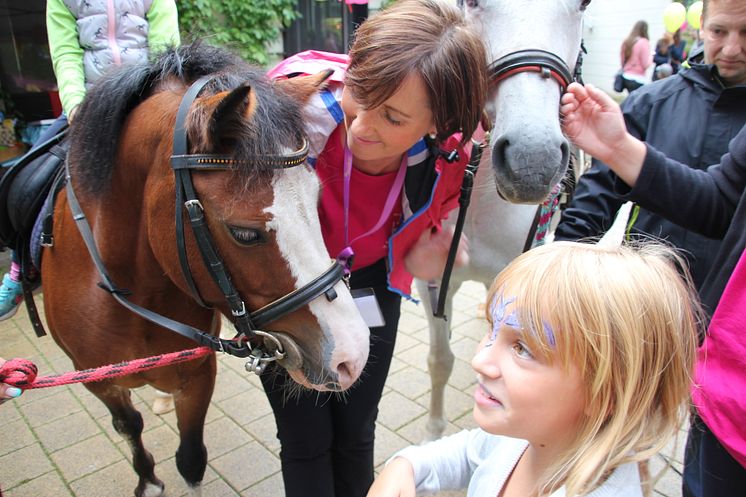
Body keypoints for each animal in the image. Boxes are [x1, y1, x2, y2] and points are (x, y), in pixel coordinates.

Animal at [38, 42, 370, 496]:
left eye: (316, 200)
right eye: (243, 233)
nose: (352, 356)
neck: (129, 294)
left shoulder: (197, 375)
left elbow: (191, 459)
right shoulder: (96, 381)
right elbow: (128, 424)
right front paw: (148, 479)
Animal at [416, 0, 584, 440]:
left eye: (584, 4)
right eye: (470, 3)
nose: (531, 160)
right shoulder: (433, 281)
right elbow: (439, 360)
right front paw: (434, 430)